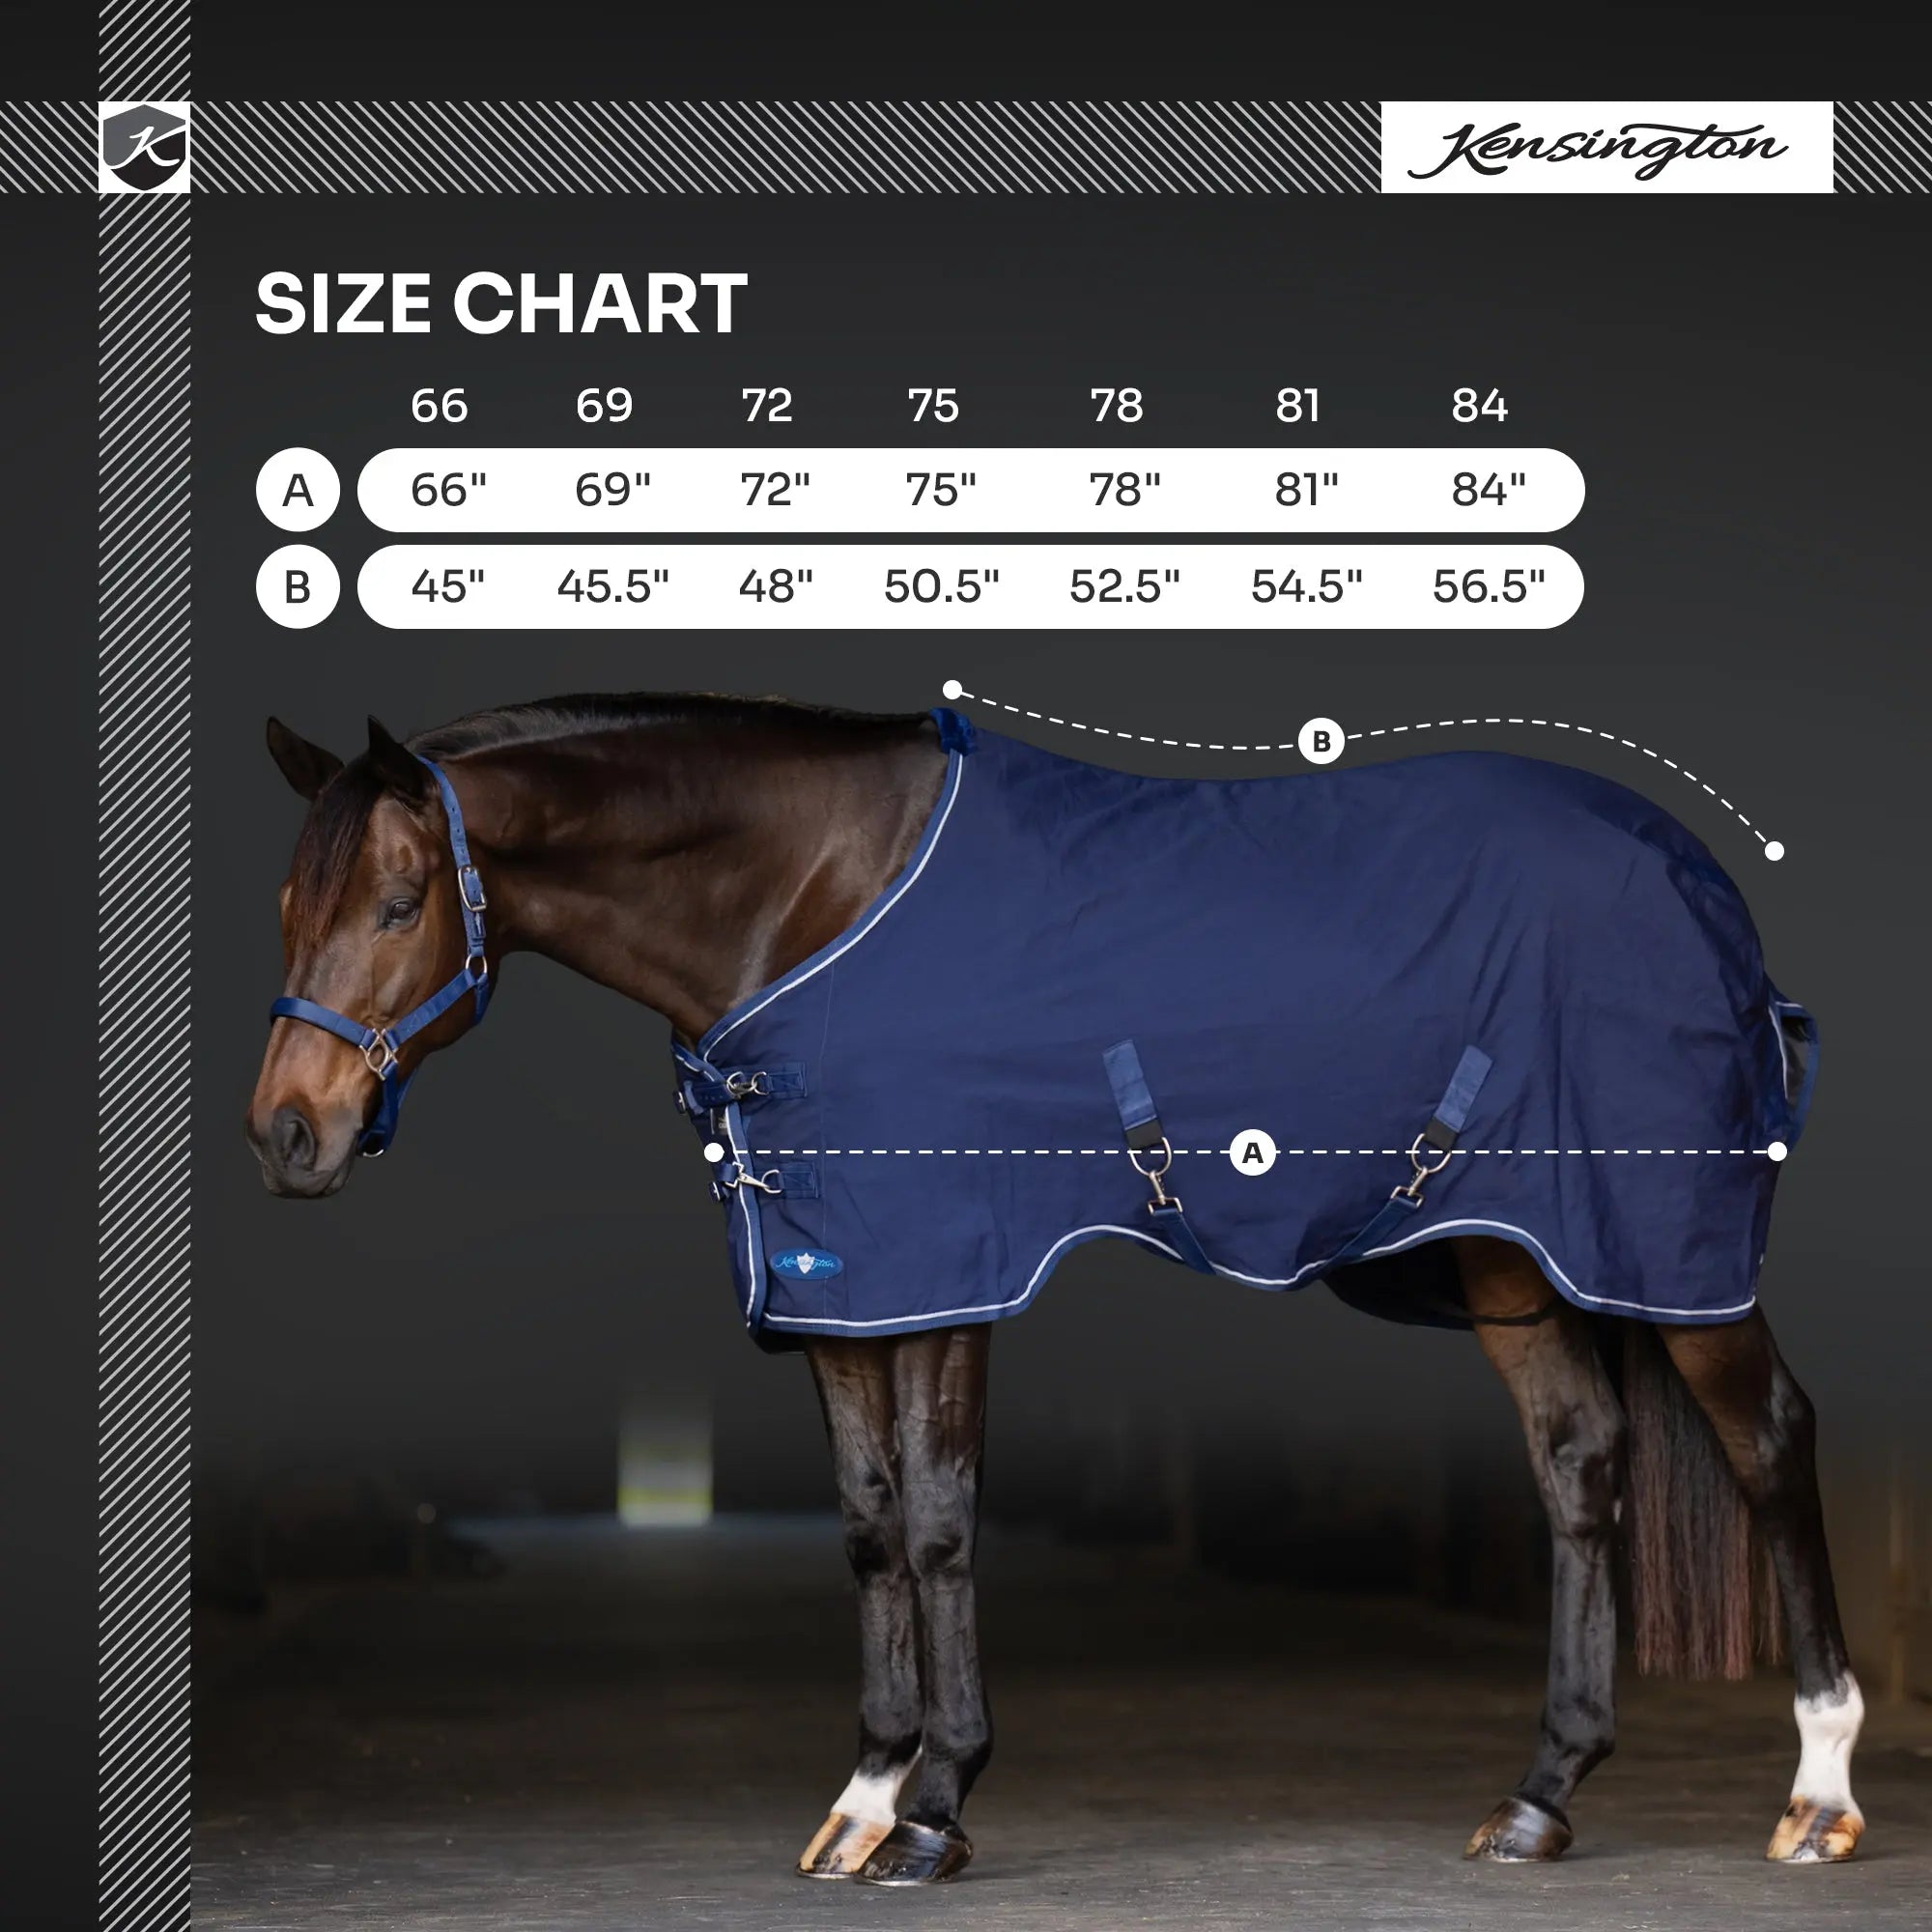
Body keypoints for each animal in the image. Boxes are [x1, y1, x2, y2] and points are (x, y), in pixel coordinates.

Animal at [245, 693, 1863, 1886]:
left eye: (400, 901)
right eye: (286, 904)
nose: (286, 1133)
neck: (815, 897)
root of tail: (1703, 883)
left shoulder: (953, 1270)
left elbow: (942, 1525)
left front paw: (936, 1811)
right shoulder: (846, 1287)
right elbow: (868, 1530)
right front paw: (862, 1801)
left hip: (1674, 1255)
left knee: (1771, 1442)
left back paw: (1821, 1792)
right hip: (1514, 1250)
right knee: (1581, 1465)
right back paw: (1540, 1798)